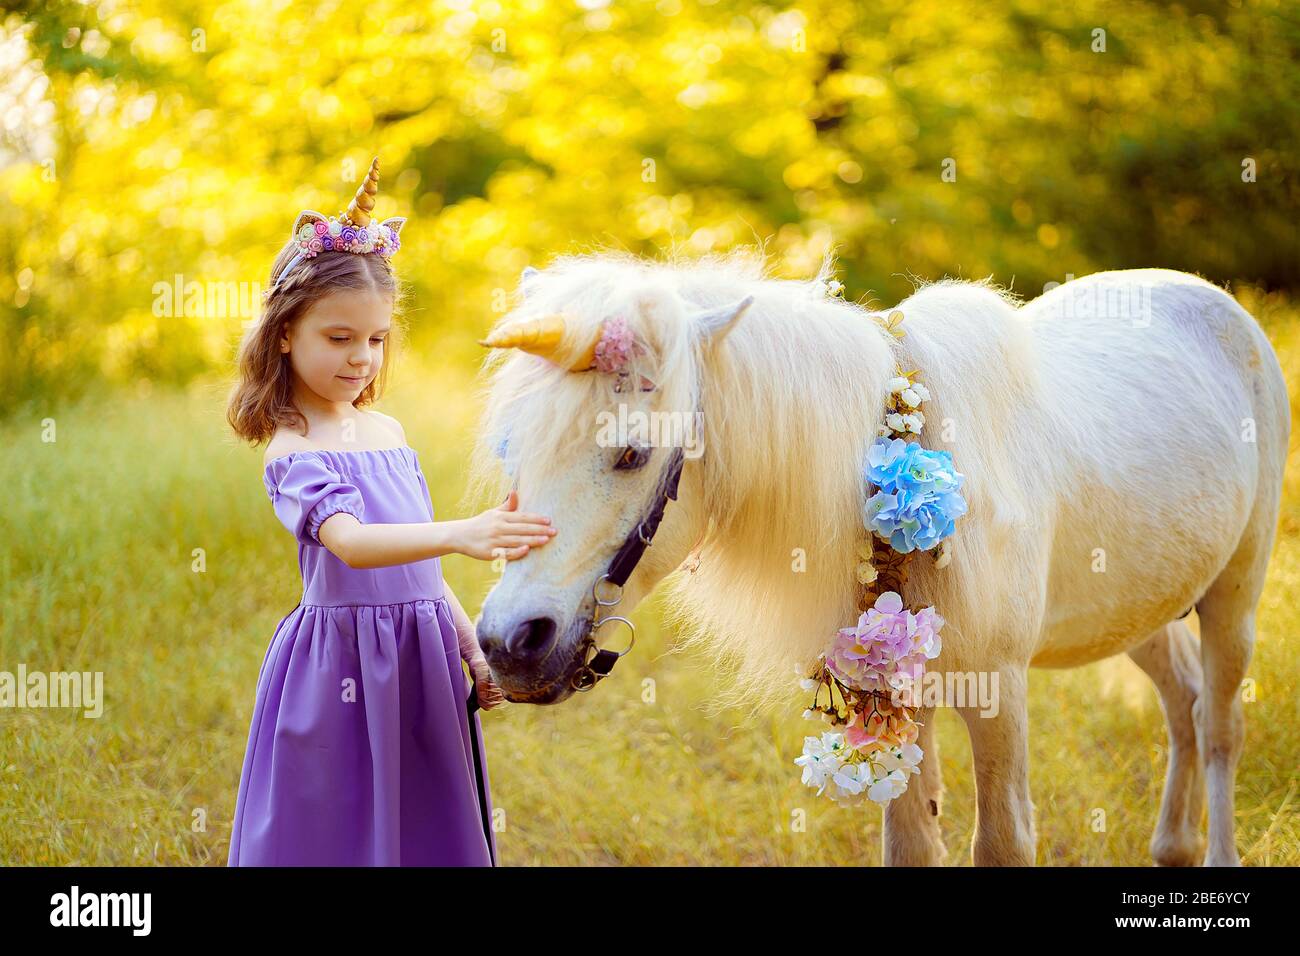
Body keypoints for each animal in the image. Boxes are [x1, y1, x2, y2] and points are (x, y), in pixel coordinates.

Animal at [470, 252, 1289, 868]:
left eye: (633, 454)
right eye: (515, 446)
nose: (509, 644)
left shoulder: (999, 693)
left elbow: (1003, 842)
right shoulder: (901, 692)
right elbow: (913, 846)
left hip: (1235, 596)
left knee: (1220, 725)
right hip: (1140, 607)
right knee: (1183, 700)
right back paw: (1173, 847)